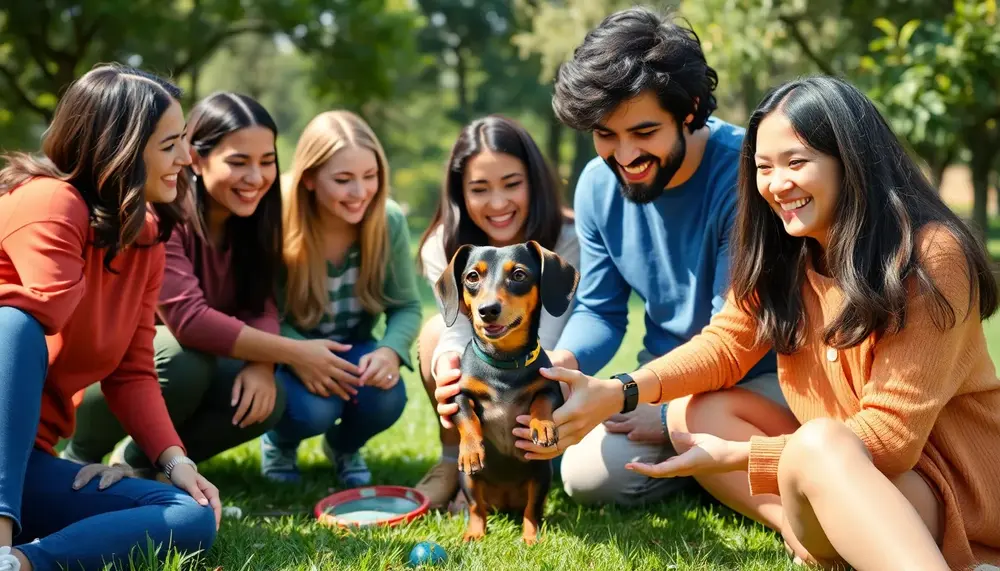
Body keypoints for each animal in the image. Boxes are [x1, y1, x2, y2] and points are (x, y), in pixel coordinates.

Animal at [436, 240, 580, 544]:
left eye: (519, 275)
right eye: (472, 277)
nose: (488, 310)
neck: (503, 364)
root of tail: (503, 502)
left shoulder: (551, 388)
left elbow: (541, 402)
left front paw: (543, 426)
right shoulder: (457, 394)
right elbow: (467, 417)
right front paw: (471, 450)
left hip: (540, 475)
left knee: (531, 511)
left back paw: (531, 536)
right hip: (469, 482)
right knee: (477, 509)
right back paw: (474, 533)